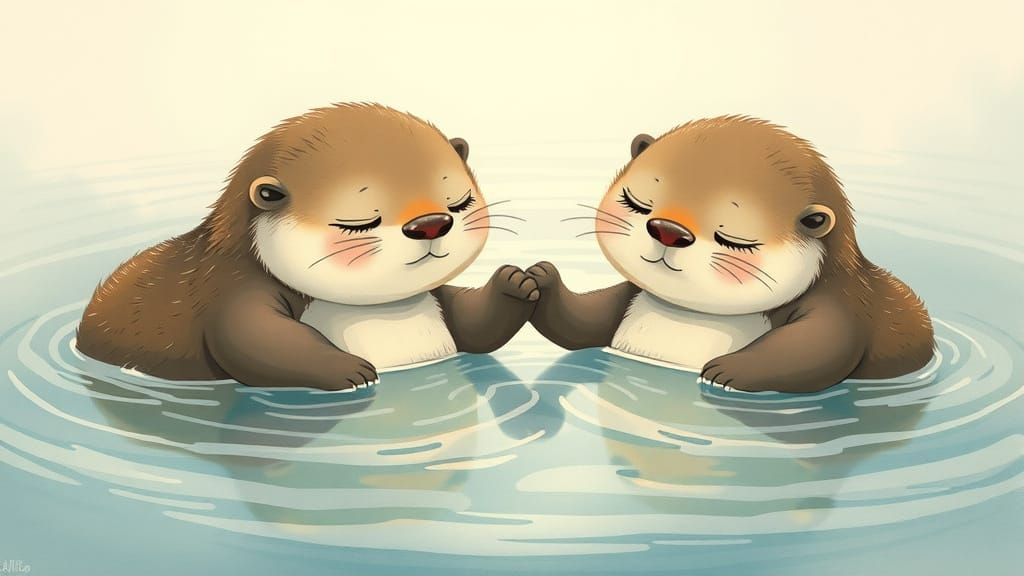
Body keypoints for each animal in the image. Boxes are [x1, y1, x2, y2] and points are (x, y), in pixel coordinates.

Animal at [77, 103, 539, 390]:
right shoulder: (232, 291)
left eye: (458, 203)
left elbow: (474, 326)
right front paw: (351, 370)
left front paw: (517, 283)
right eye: (359, 223)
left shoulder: (439, 300)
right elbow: (251, 338)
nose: (430, 224)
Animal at [527, 116, 934, 393]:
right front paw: (536, 280)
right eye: (637, 203)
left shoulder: (841, 305)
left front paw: (726, 370)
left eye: (733, 240)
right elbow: (584, 321)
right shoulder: (629, 295)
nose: (669, 231)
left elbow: (822, 347)